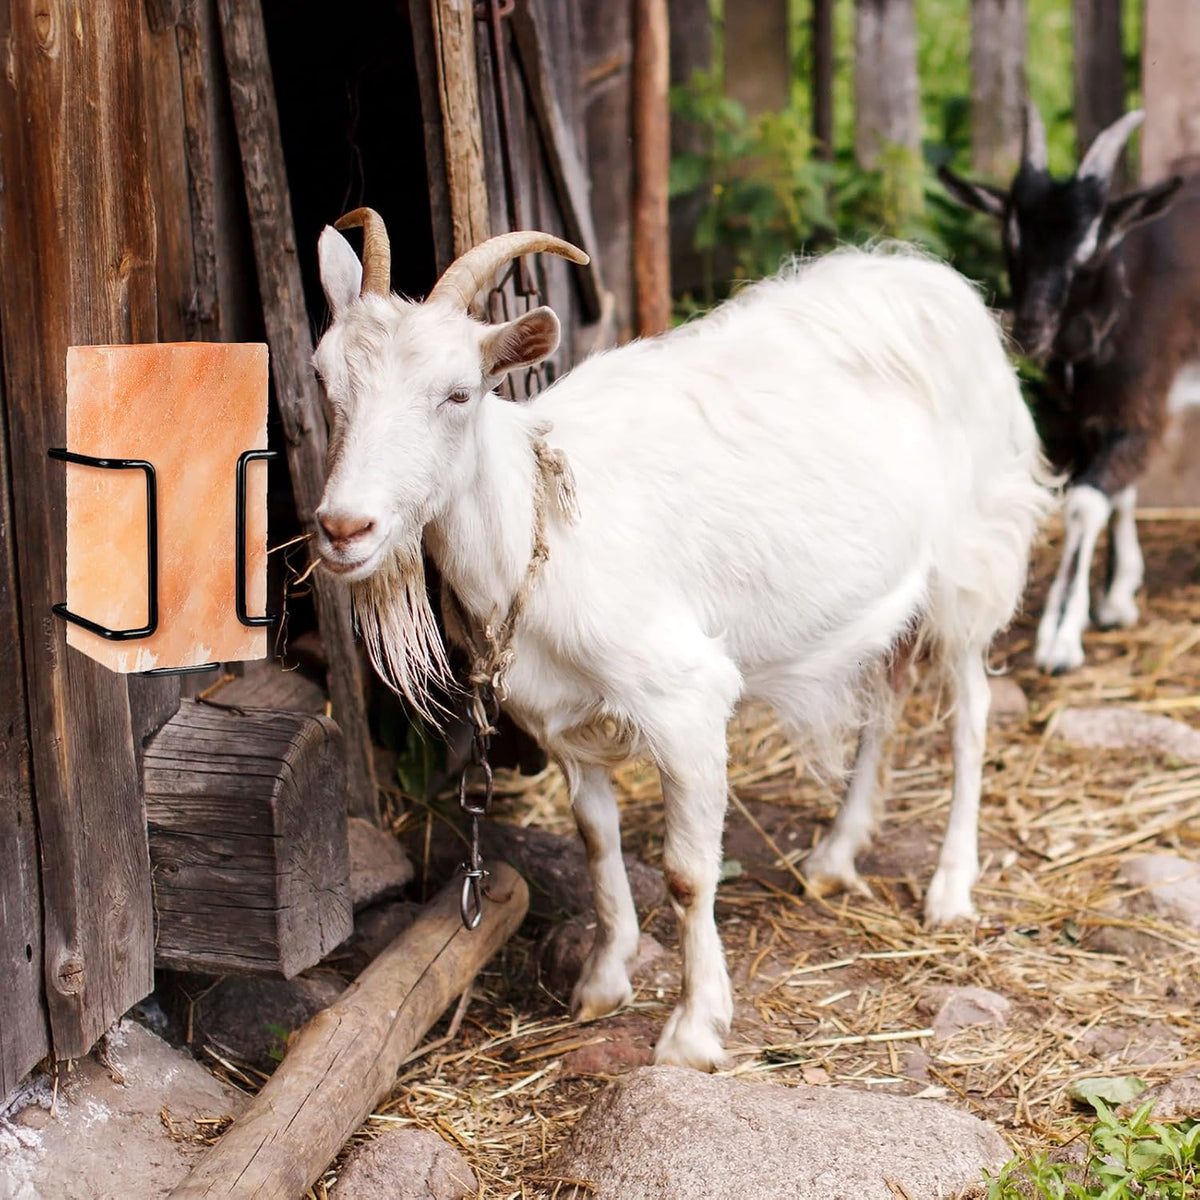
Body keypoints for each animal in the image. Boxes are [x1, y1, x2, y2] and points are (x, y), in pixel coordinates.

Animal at [311, 209, 1051, 1070]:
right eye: (325, 381)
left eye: (458, 393)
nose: (343, 528)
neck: (540, 520)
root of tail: (938, 282)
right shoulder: (560, 718)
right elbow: (597, 845)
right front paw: (603, 982)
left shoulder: (685, 700)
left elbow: (689, 873)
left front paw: (695, 1031)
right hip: (891, 593)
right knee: (886, 700)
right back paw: (835, 856)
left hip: (972, 559)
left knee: (971, 713)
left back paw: (950, 887)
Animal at [940, 104, 1199, 673]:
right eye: (1011, 241)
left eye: (1087, 251)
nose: (1031, 328)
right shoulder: (1080, 420)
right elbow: (1116, 494)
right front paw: (1117, 596)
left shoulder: (1142, 407)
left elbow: (1084, 503)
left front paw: (1060, 638)